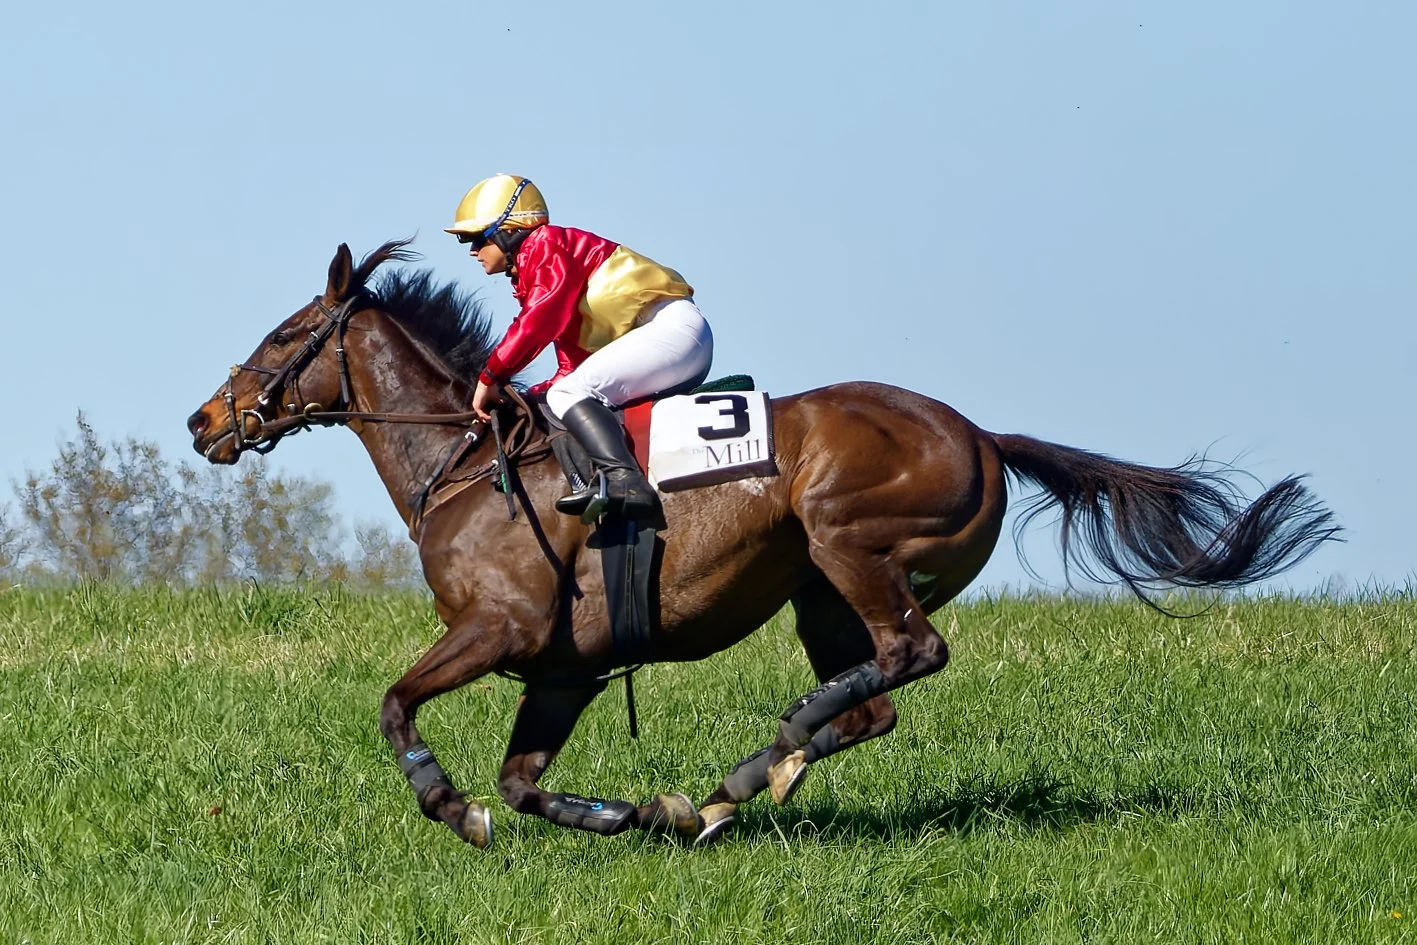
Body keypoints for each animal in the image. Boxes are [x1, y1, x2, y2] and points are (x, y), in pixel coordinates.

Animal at [187, 240, 1339, 847]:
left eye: (285, 336)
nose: (205, 421)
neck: (467, 467)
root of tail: (979, 435)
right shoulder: (564, 668)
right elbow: (523, 780)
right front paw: (631, 809)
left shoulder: (497, 631)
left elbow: (395, 706)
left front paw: (449, 805)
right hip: (819, 590)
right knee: (874, 696)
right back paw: (741, 783)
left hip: (845, 541)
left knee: (911, 654)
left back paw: (760, 757)